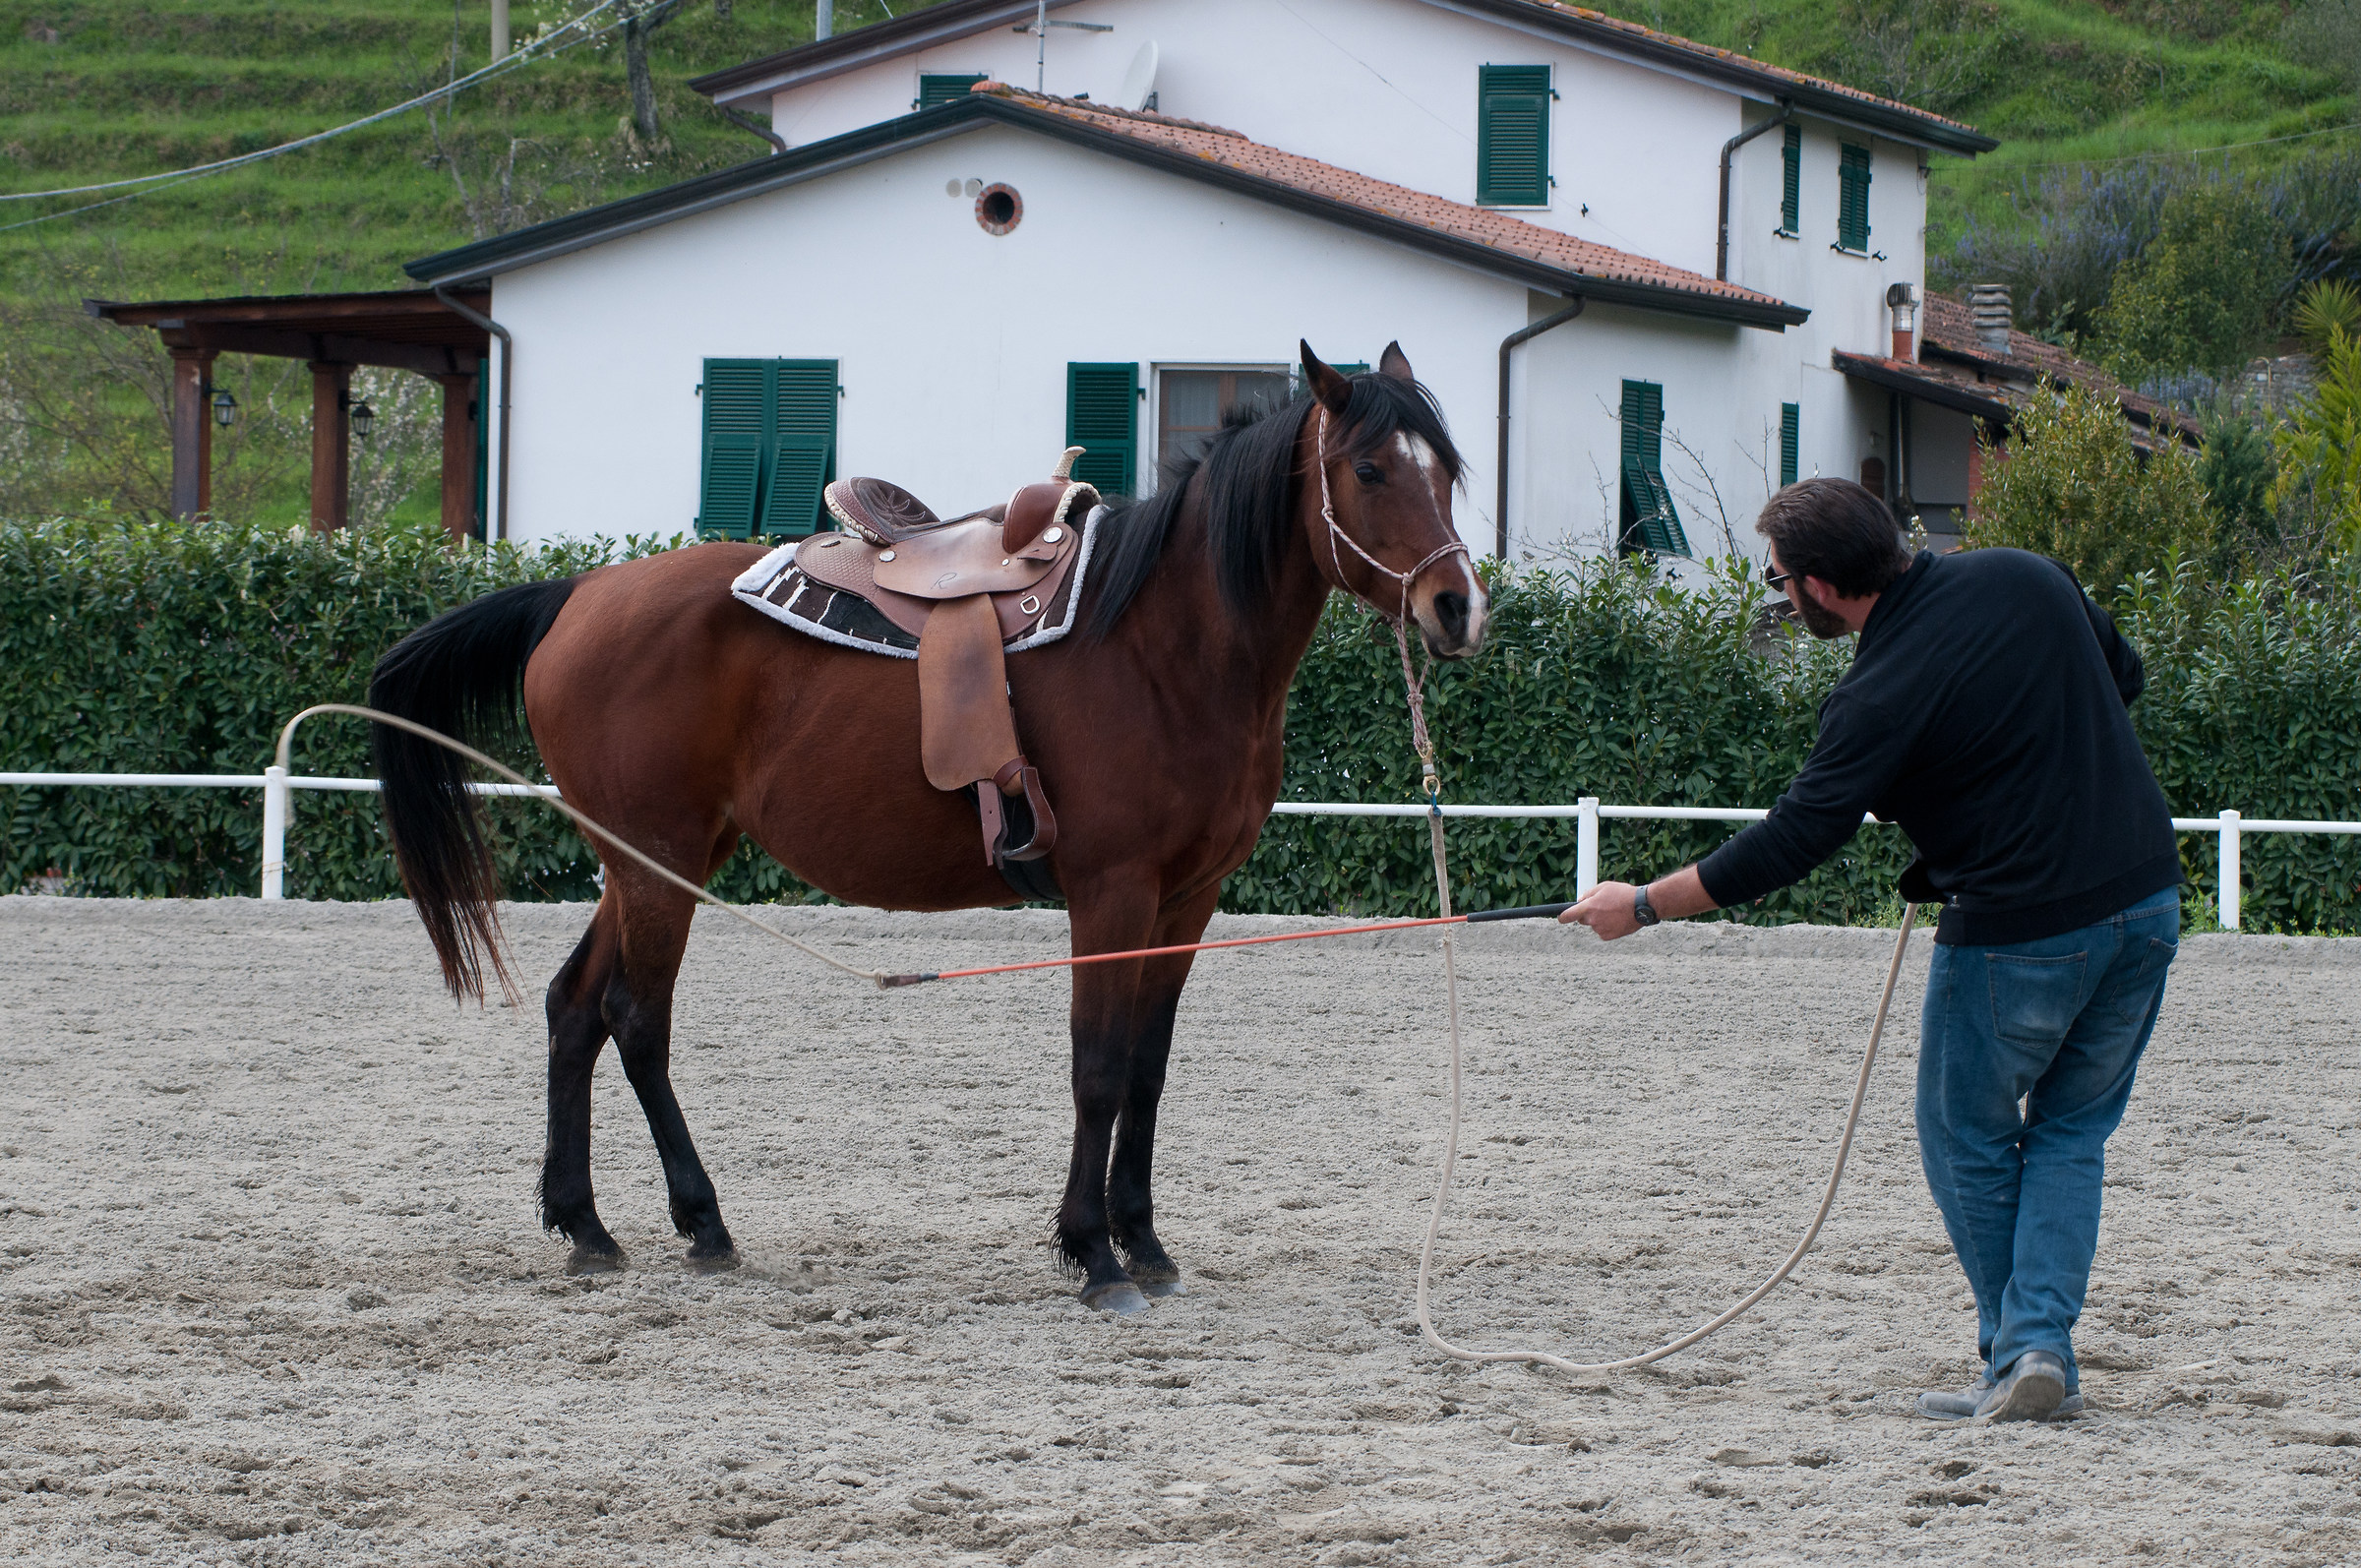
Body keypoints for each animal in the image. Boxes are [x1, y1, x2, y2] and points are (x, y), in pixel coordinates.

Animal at [366, 339, 1483, 1312]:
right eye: (1371, 467)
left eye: (1449, 470)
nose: (1457, 606)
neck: (1161, 641)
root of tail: (579, 595)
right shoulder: (1111, 891)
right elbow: (1098, 1069)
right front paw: (1093, 1253)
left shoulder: (1188, 899)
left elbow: (1148, 1071)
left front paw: (1145, 1241)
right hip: (659, 864)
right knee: (636, 1021)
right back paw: (703, 1221)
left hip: (656, 860)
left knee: (574, 1009)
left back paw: (586, 1225)